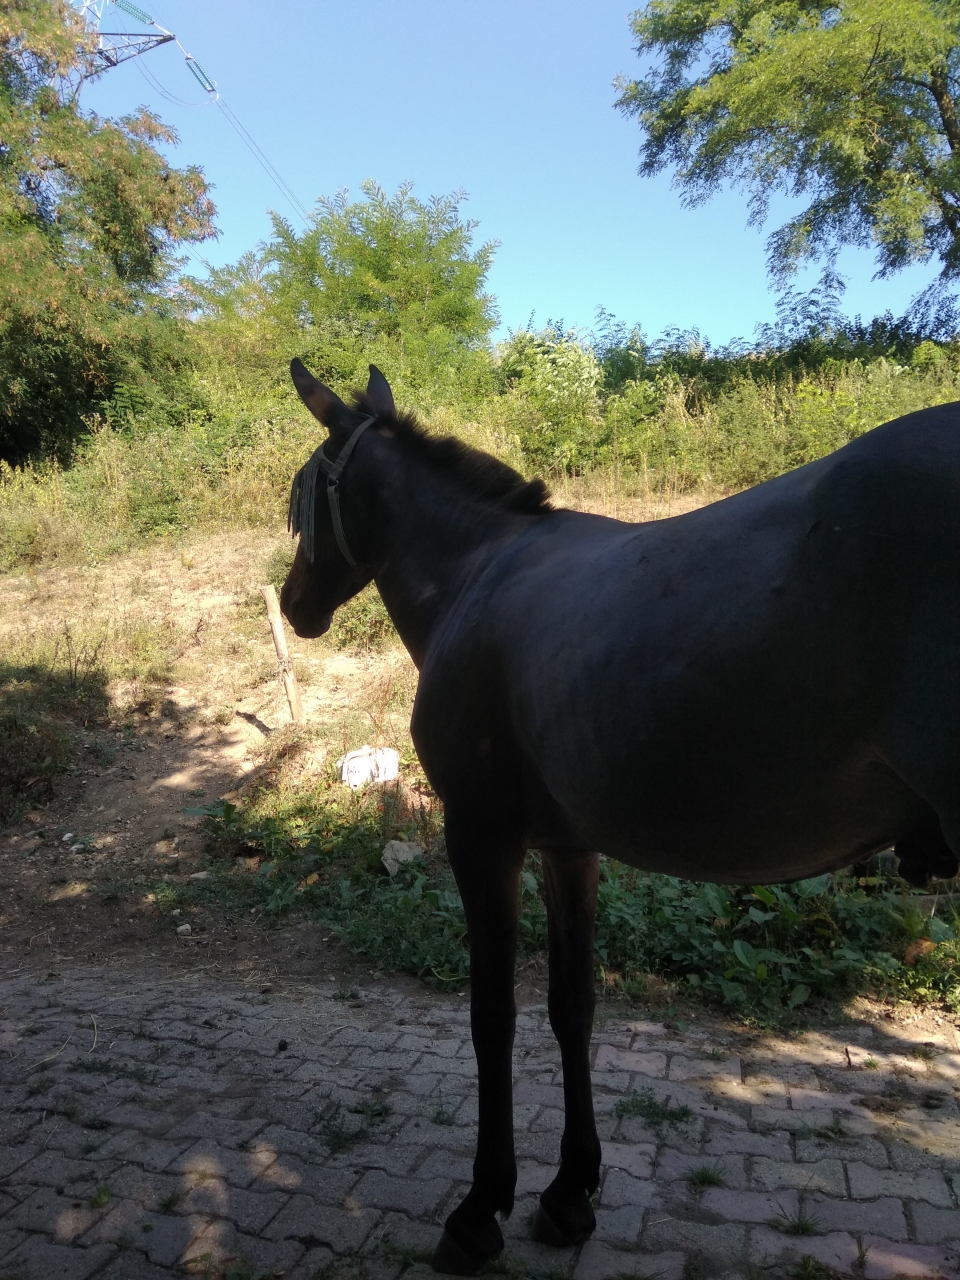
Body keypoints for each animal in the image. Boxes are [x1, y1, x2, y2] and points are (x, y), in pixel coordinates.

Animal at [280, 358, 960, 1275]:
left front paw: (481, 1208)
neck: (477, 574)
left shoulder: (481, 838)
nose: (293, 604)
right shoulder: (569, 850)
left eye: (304, 492)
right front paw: (570, 1191)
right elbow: (574, 1007)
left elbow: (492, 1015)